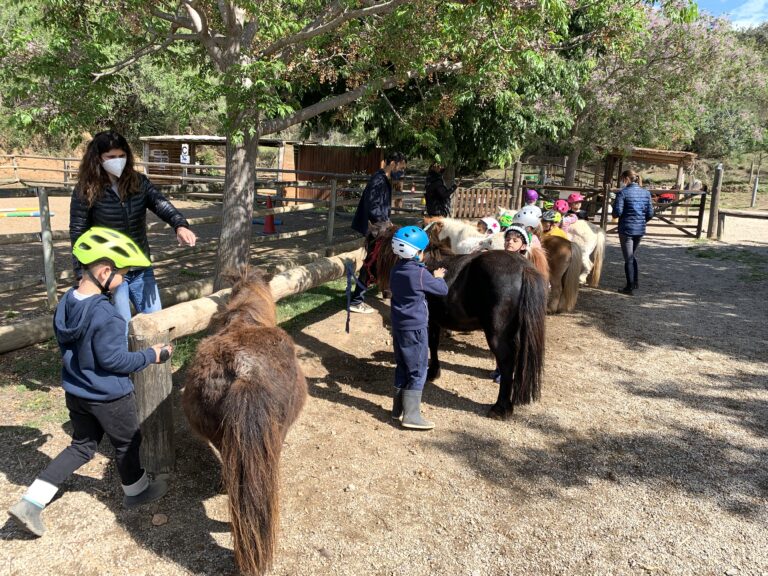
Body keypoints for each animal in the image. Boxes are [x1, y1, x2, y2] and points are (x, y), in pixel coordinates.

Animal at [377, 228, 547, 419]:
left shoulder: (431, 320)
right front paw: (434, 371)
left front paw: (431, 372)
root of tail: (523, 267)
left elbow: (431, 344)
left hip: (498, 336)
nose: (386, 292)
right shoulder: (435, 320)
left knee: (506, 362)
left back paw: (500, 408)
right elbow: (434, 344)